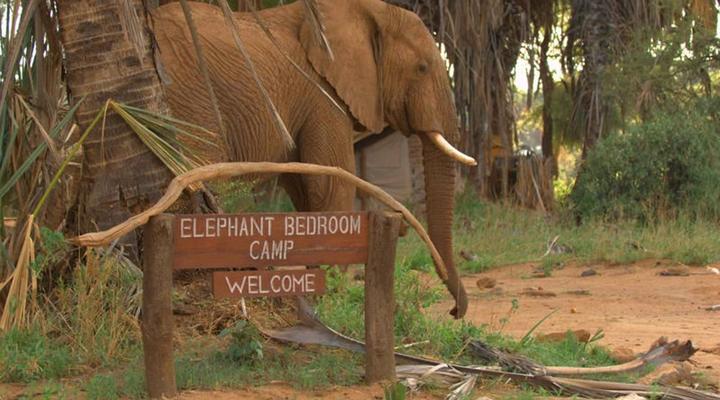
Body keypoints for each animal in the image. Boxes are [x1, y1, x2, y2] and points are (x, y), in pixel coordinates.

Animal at [151, 0, 472, 318]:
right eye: (422, 68)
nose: (455, 311)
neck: (367, 9)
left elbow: (306, 192)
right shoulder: (323, 96)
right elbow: (330, 184)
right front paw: (331, 299)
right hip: (190, 99)